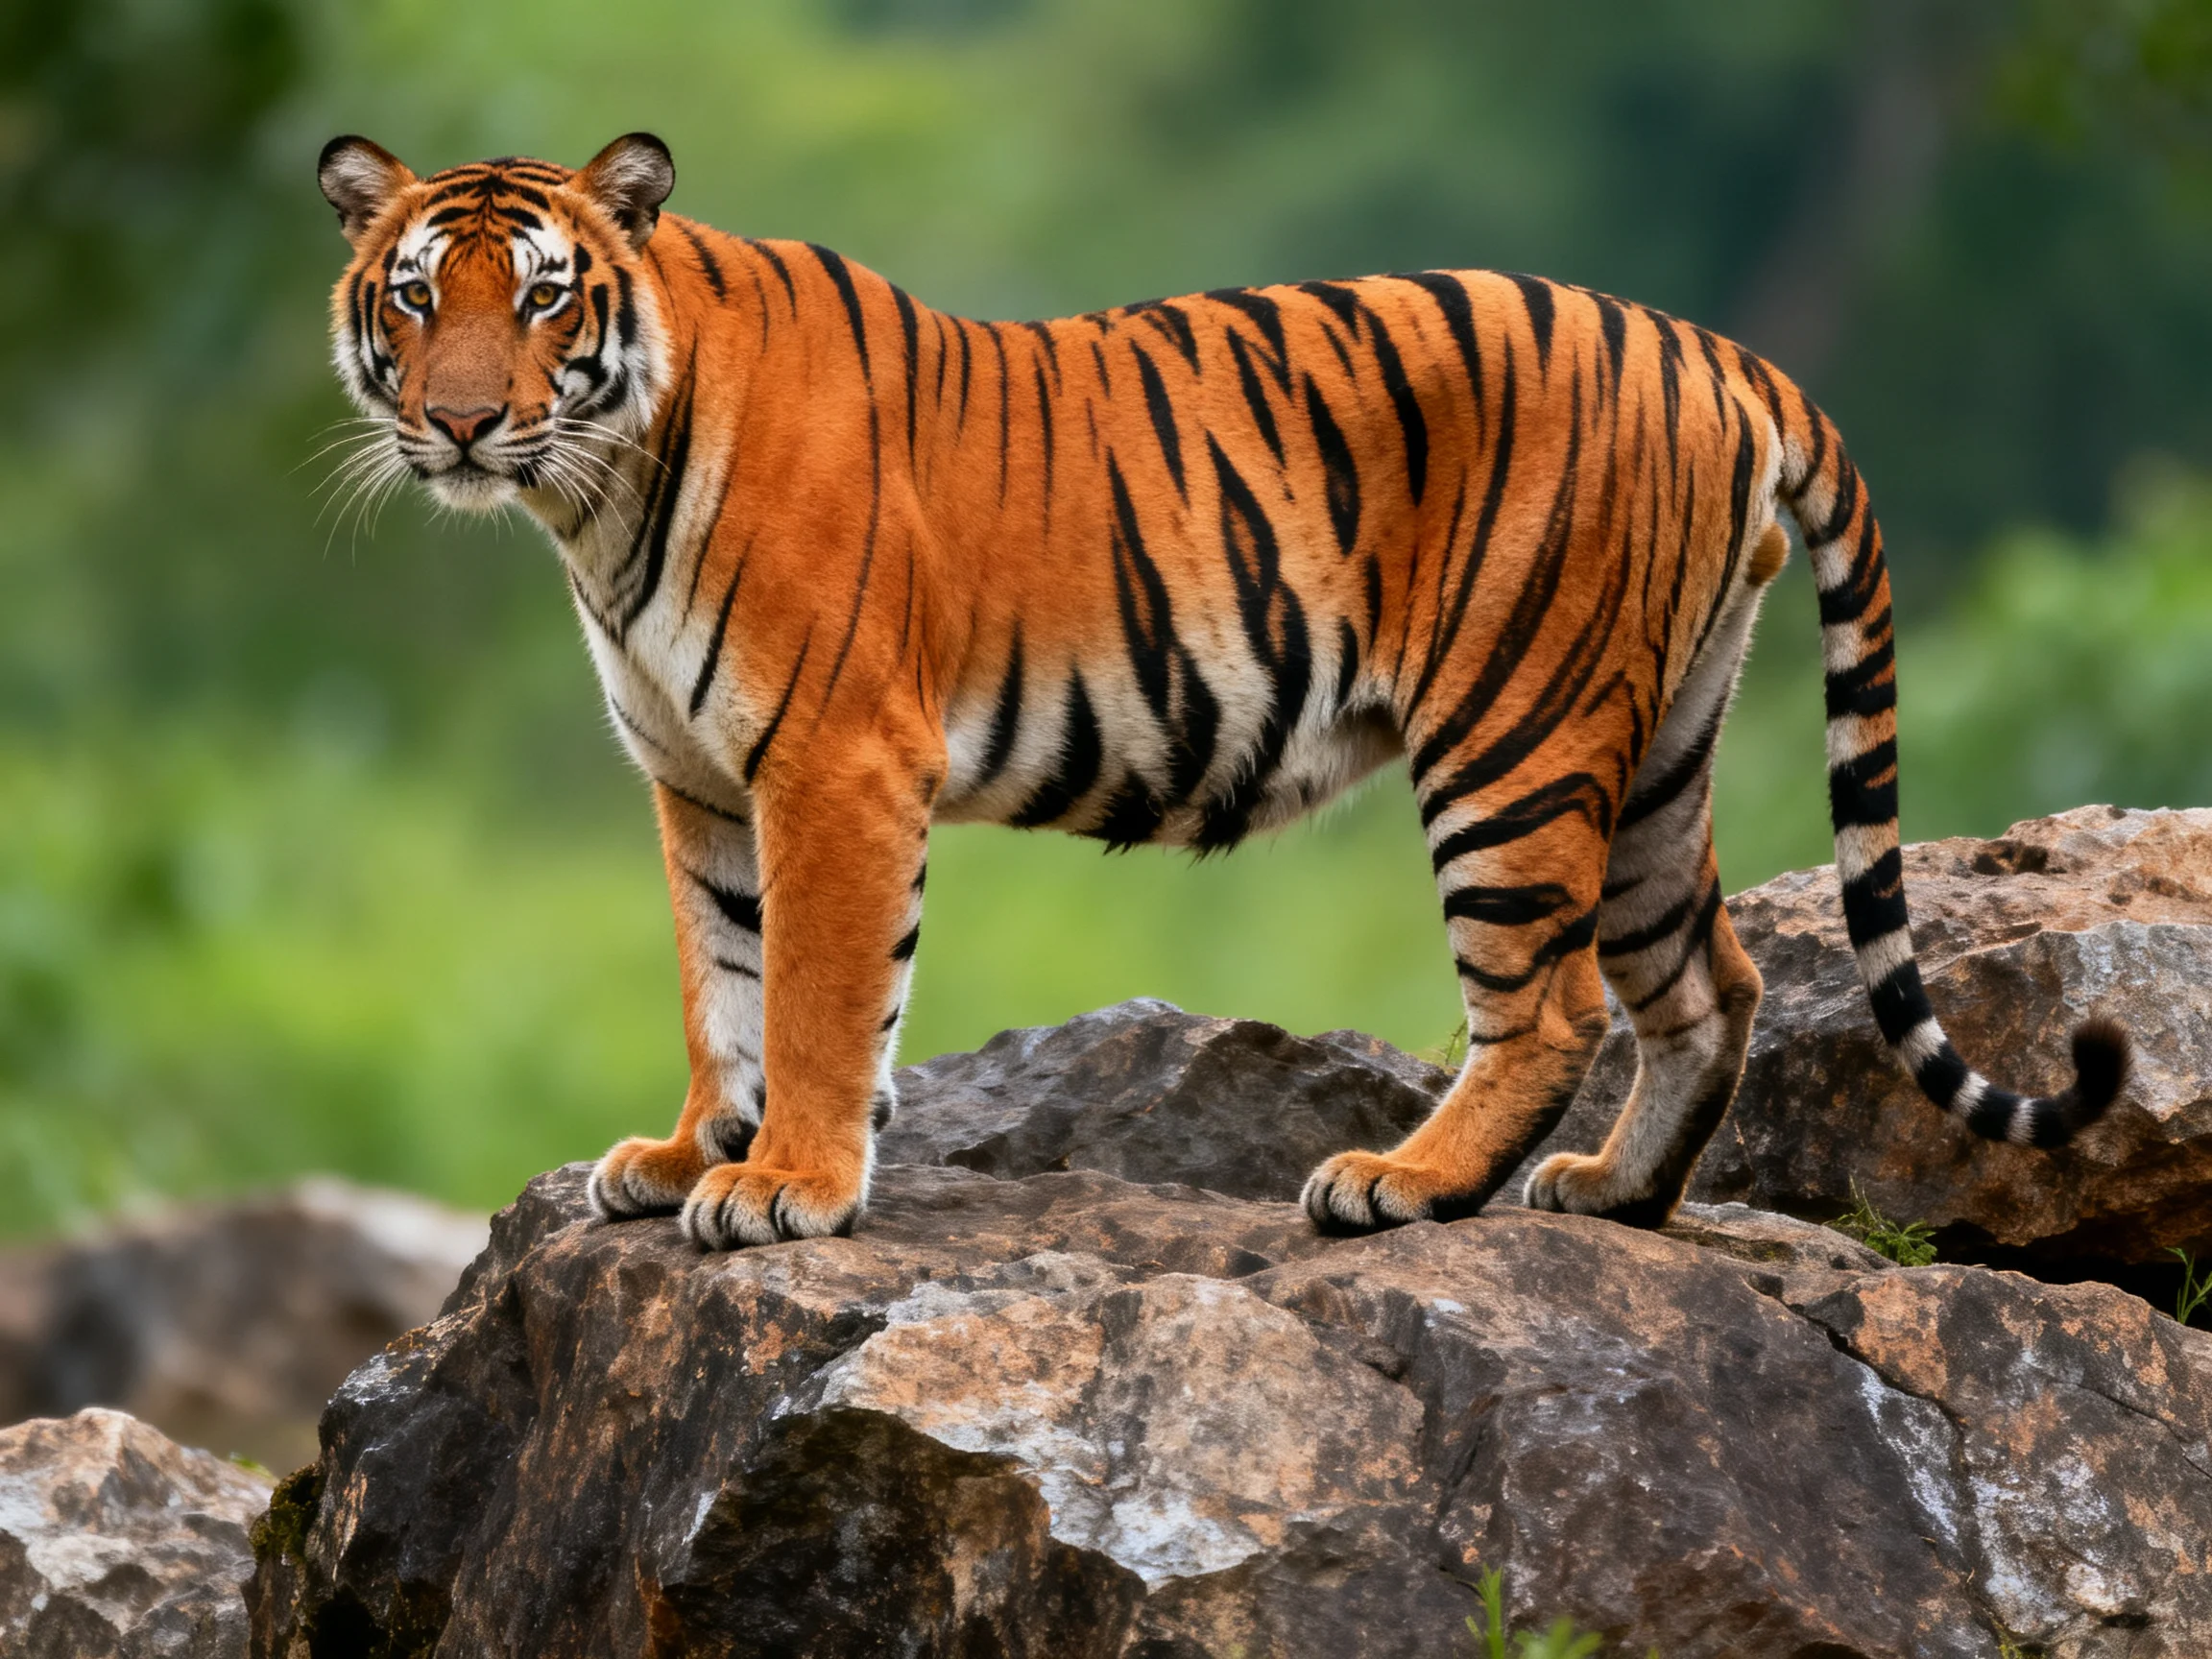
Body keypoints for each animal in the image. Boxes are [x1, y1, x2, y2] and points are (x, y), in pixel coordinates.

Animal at [316, 131, 2129, 1250]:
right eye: (415, 295)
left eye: (542, 294)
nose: (464, 422)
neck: (598, 497)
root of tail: (1715, 348)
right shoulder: (697, 780)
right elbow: (725, 986)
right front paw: (693, 1152)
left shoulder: (831, 763)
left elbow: (821, 998)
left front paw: (786, 1188)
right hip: (1660, 744)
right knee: (1713, 979)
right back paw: (1614, 1193)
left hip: (1514, 736)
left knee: (1548, 1003)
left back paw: (1400, 1182)